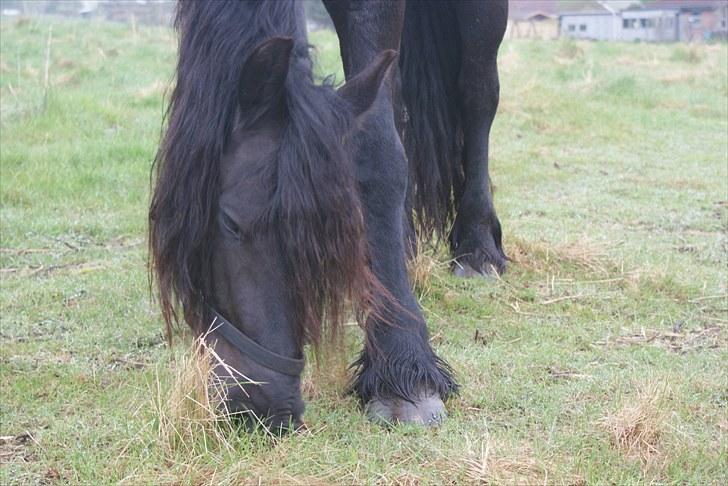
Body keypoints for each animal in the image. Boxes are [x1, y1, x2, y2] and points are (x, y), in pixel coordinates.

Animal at [149, 0, 506, 432]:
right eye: (230, 223)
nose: (267, 407)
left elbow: (376, 150)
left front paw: (403, 369)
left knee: (478, 91)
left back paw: (477, 248)